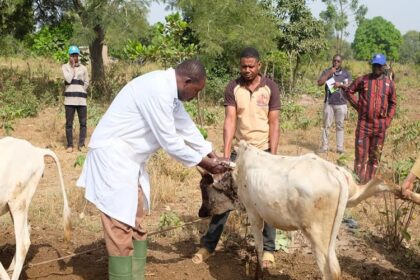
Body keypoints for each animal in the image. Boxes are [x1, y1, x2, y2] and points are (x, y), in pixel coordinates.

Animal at [199, 141, 416, 280]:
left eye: (204, 188)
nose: (201, 213)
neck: (237, 172)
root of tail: (336, 174)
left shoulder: (253, 213)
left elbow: (259, 249)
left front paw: (258, 274)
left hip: (317, 234)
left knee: (330, 270)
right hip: (353, 197)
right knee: (380, 181)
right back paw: (406, 192)